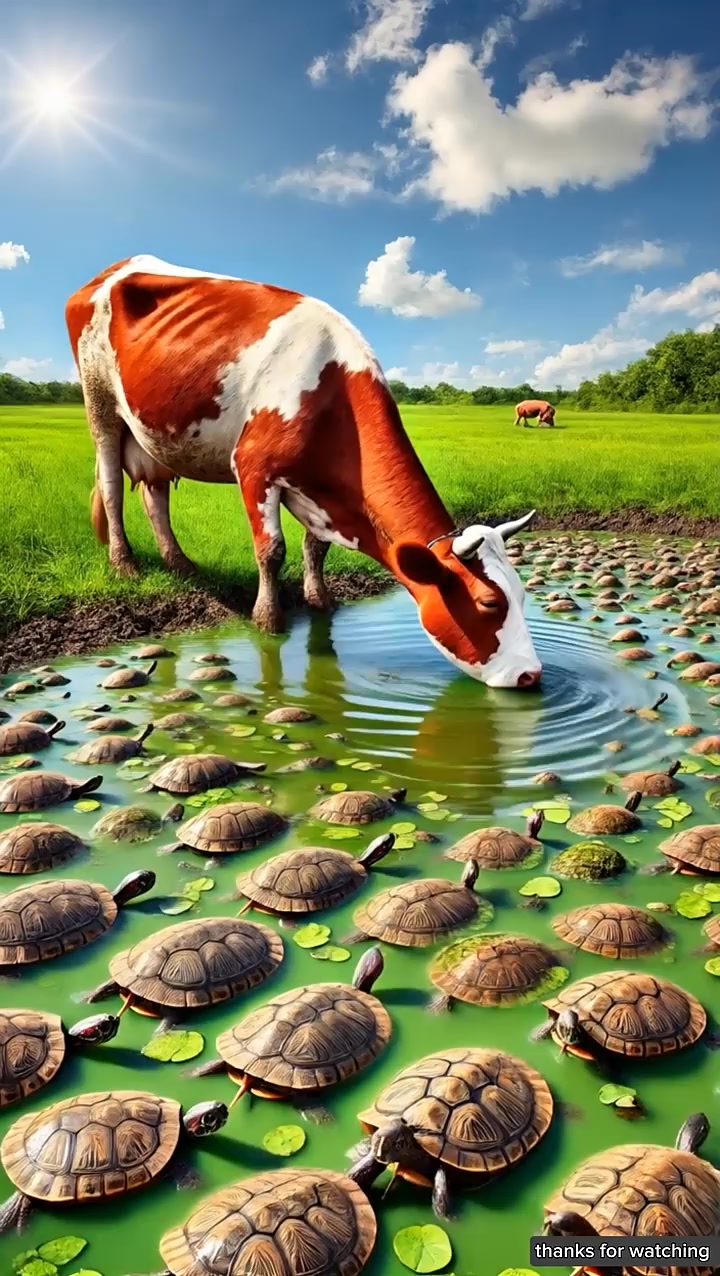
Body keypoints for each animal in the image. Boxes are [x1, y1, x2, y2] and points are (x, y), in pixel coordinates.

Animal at [65, 255, 542, 689]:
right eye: (488, 603)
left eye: (521, 594)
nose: (529, 675)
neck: (330, 393)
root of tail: (115, 267)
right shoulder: (253, 467)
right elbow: (271, 551)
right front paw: (268, 618)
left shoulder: (319, 491)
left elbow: (316, 548)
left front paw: (320, 599)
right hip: (100, 405)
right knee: (111, 486)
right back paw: (124, 563)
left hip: (156, 430)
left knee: (155, 495)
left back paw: (180, 563)